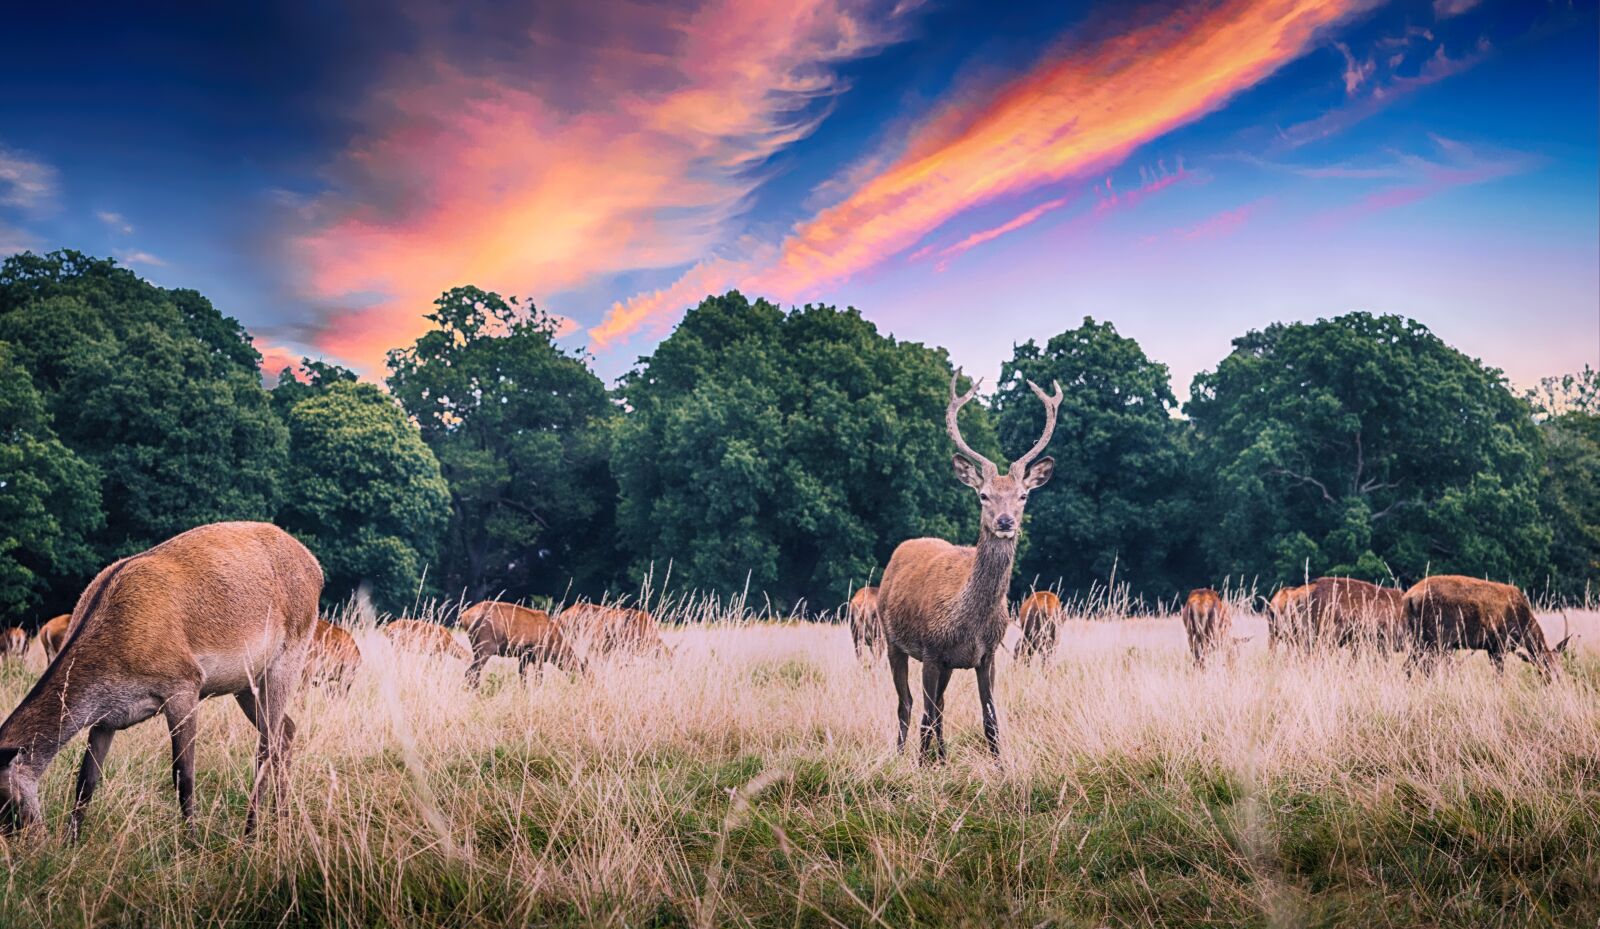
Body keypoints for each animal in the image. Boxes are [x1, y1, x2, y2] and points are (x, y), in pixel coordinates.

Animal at [0, 521, 322, 838]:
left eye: (5, 803)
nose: (27, 840)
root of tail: (316, 568)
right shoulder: (106, 718)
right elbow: (86, 781)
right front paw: (72, 841)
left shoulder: (185, 684)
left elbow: (183, 774)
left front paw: (192, 842)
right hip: (246, 683)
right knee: (286, 731)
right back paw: (282, 820)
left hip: (288, 658)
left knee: (266, 747)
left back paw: (251, 833)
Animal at [878, 370, 1061, 762]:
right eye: (983, 495)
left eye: (1023, 495)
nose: (1006, 521)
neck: (968, 624)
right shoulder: (932, 651)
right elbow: (925, 714)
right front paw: (920, 767)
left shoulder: (986, 655)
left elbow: (989, 718)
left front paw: (1000, 766)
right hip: (892, 640)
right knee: (907, 704)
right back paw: (901, 756)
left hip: (945, 664)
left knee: (940, 706)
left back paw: (943, 757)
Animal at [1403, 575, 1572, 678]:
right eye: (1546, 666)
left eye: (1560, 668)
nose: (1556, 679)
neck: (1524, 627)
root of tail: (1409, 598)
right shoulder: (1501, 643)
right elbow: (1498, 675)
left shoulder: (1490, 647)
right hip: (1437, 637)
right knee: (1426, 668)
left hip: (1419, 639)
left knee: (1409, 666)